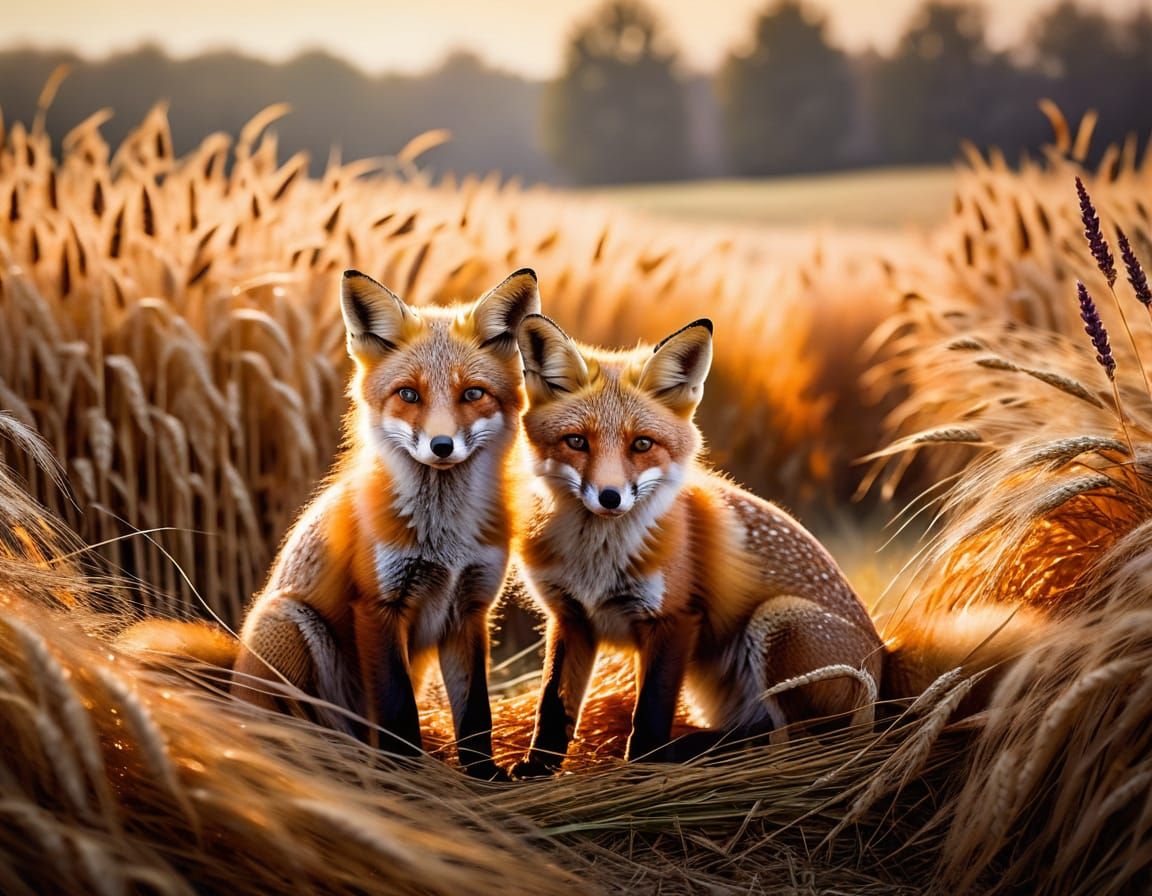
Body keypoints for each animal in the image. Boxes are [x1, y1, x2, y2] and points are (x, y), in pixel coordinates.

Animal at [121, 268, 539, 780]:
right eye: (409, 394)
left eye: (473, 394)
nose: (441, 446)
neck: (444, 539)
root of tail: (234, 675)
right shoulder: (378, 604)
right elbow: (398, 712)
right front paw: (406, 776)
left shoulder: (469, 609)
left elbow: (476, 713)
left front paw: (484, 775)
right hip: (292, 621)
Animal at [510, 314, 887, 776]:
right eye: (577, 441)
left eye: (642, 444)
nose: (610, 497)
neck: (596, 563)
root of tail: (884, 662)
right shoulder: (571, 617)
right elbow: (552, 706)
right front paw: (536, 768)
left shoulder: (675, 620)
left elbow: (649, 716)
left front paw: (641, 769)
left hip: (775, 619)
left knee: (796, 742)